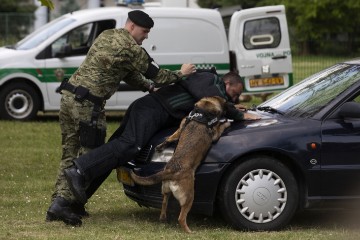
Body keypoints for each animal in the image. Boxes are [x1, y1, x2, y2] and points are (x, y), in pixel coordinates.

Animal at [129, 96, 231, 232]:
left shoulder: (181, 126)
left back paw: (163, 217)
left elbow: (171, 137)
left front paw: (161, 145)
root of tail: (170, 170)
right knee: (181, 218)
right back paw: (189, 231)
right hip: (189, 197)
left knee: (164, 203)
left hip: (165, 191)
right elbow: (221, 126)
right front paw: (226, 122)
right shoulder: (214, 134)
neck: (204, 108)